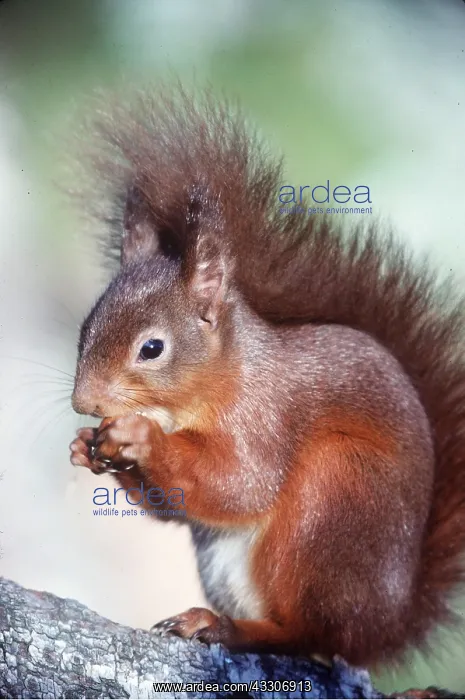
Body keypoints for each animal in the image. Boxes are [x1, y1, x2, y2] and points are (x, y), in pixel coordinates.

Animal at [69, 85, 465, 669]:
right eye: (85, 327)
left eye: (152, 348)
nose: (84, 404)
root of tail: (382, 631)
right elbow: (174, 511)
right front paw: (85, 446)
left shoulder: (266, 414)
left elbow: (242, 484)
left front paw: (141, 436)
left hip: (331, 499)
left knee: (309, 632)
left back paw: (228, 628)